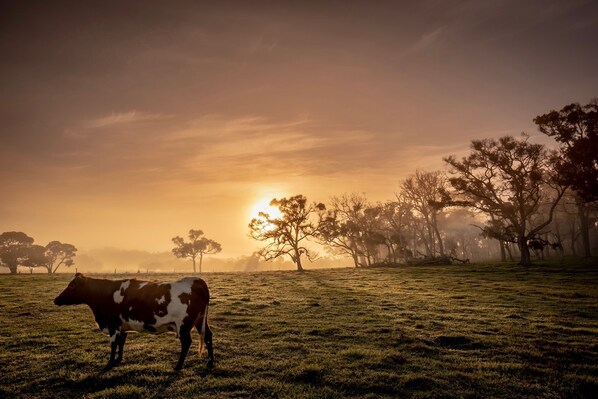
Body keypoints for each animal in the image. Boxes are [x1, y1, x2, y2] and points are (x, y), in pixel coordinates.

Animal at [53, 276, 213, 372]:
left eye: (72, 286)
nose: (56, 300)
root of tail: (195, 280)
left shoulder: (113, 325)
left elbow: (113, 344)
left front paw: (109, 364)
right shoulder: (122, 327)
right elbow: (121, 343)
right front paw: (118, 360)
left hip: (184, 325)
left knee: (186, 343)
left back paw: (178, 366)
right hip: (201, 320)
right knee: (208, 337)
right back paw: (210, 362)